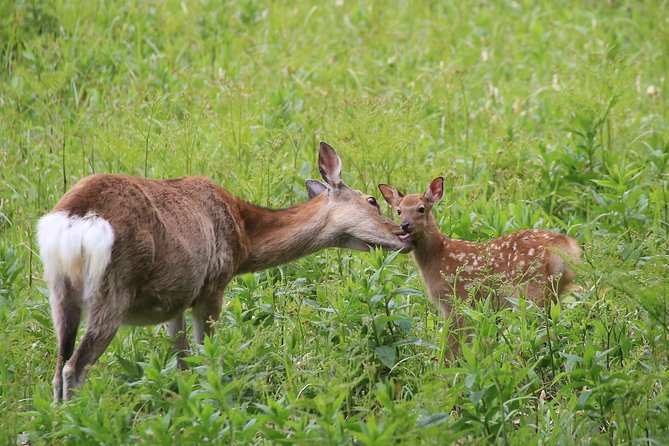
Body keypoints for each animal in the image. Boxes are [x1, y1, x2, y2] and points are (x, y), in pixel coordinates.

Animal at [39, 141, 412, 398]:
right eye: (372, 201)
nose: (404, 234)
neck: (244, 238)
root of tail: (74, 221)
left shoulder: (175, 297)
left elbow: (182, 361)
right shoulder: (212, 285)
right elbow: (207, 356)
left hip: (59, 288)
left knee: (59, 365)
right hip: (114, 286)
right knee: (75, 366)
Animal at [380, 176, 580, 354]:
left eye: (421, 208)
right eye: (399, 210)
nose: (405, 225)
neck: (437, 255)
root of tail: (564, 246)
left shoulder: (455, 300)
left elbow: (452, 345)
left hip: (530, 291)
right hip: (555, 291)